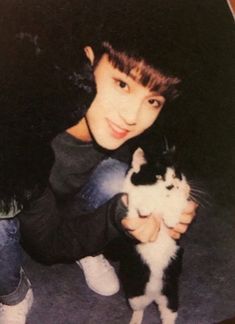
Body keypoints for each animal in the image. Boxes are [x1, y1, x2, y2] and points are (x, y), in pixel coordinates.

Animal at [120, 147, 190, 324]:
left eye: (175, 175)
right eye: (158, 176)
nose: (171, 186)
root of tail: (154, 296)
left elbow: (179, 200)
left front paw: (171, 218)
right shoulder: (129, 198)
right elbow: (137, 199)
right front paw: (146, 206)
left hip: (170, 296)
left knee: (169, 315)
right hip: (134, 294)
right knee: (139, 309)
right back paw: (135, 320)